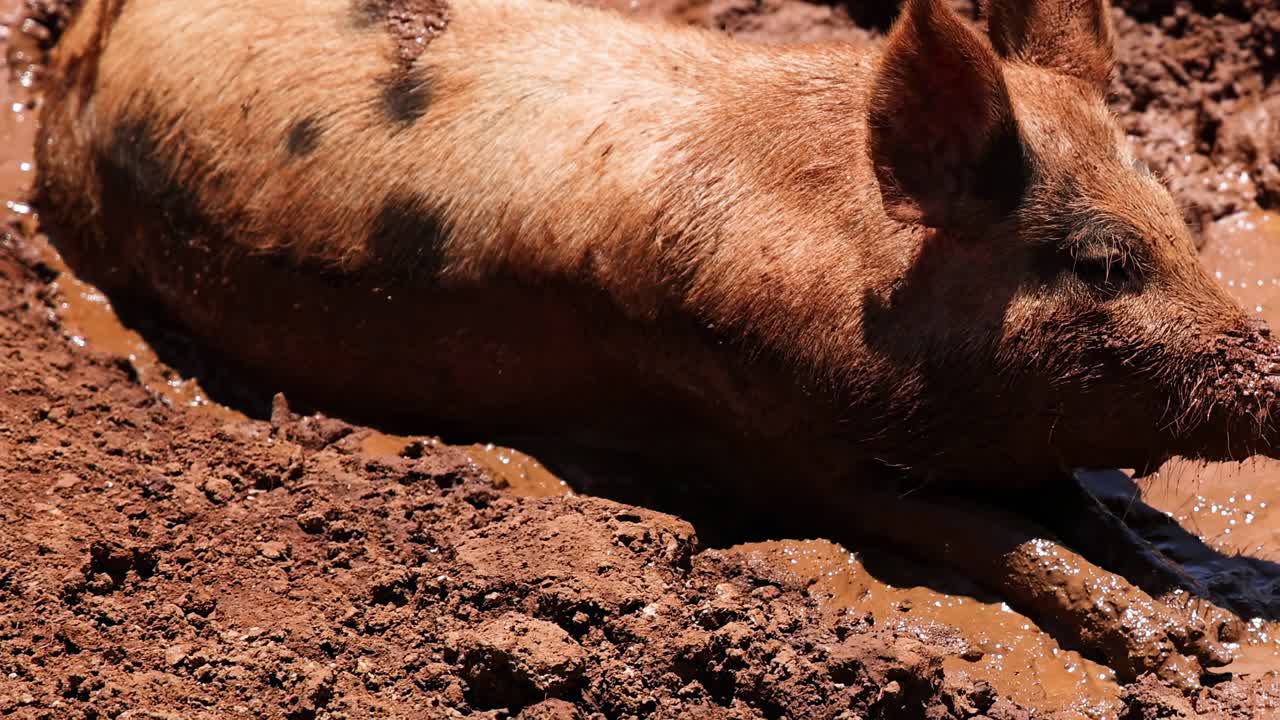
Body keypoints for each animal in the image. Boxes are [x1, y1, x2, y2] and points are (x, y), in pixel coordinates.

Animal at [31, 0, 1274, 679]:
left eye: (1178, 217)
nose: (1267, 366)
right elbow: (995, 538)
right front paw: (1179, 652)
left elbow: (1087, 516)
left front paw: (1200, 614)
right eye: (1104, 263)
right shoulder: (786, 437)